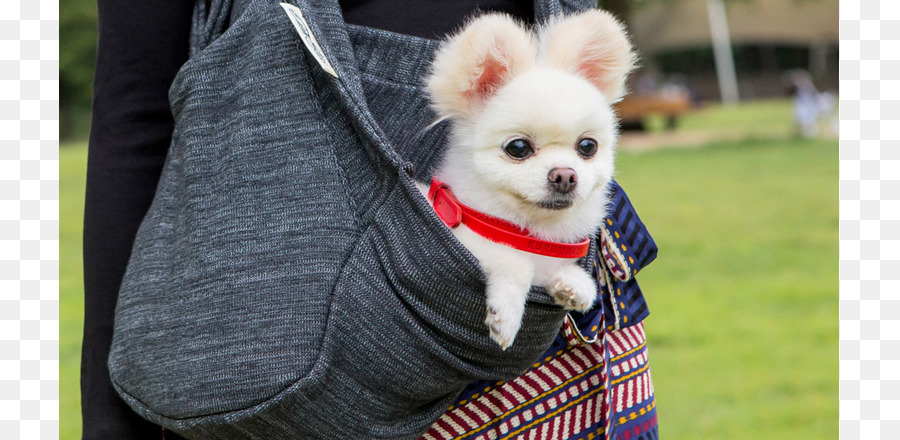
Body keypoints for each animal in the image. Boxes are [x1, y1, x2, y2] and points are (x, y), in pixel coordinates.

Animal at [420, 10, 632, 348]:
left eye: (587, 146)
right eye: (518, 148)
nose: (565, 175)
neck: (527, 231)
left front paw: (572, 284)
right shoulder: (467, 239)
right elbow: (514, 261)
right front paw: (505, 315)